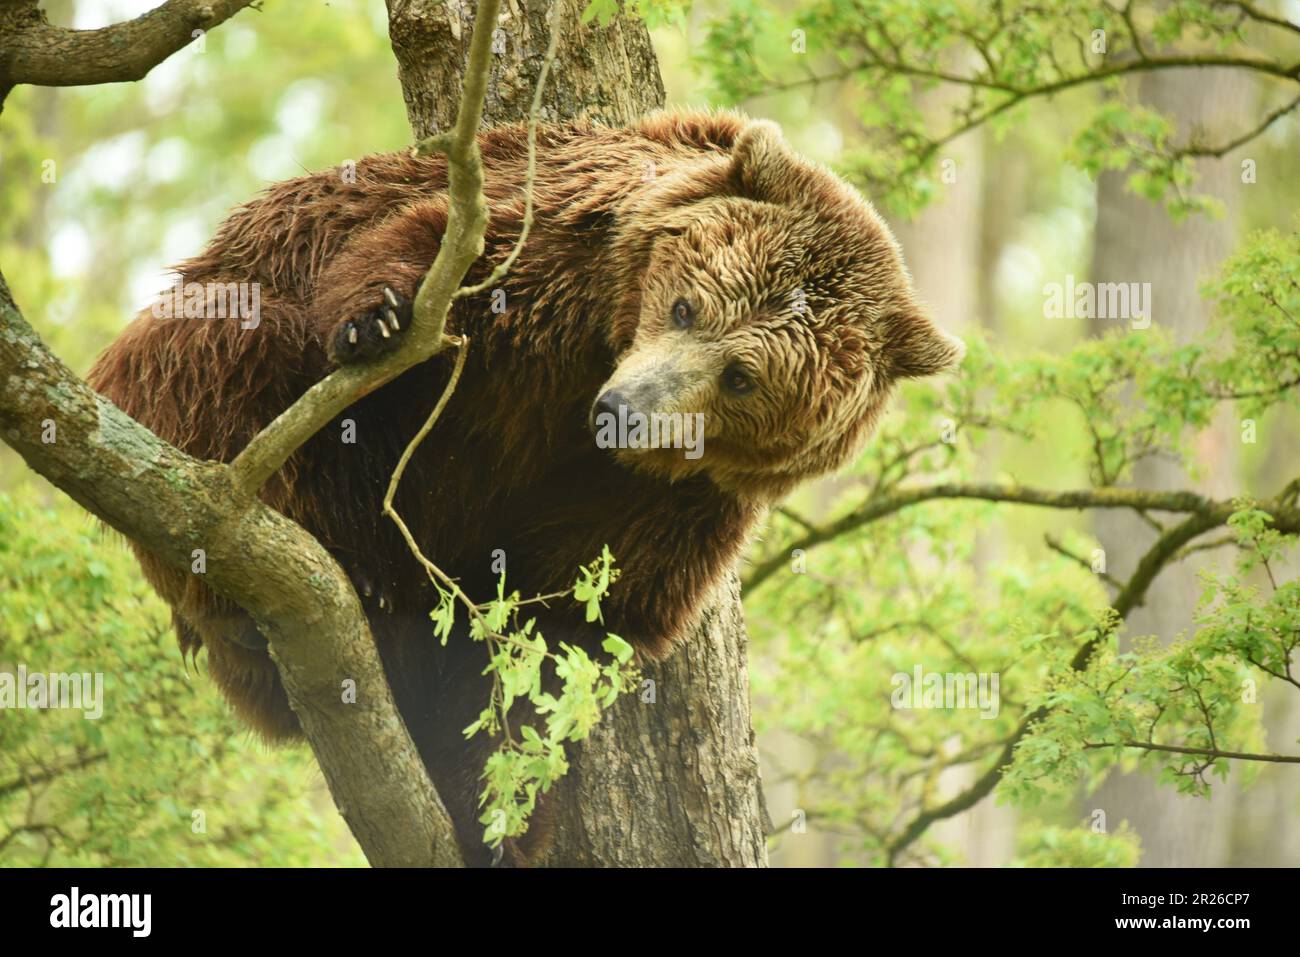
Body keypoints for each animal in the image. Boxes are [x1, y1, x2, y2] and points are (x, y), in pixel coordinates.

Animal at [86, 111, 963, 865]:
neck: (594, 352)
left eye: (742, 376)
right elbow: (427, 255)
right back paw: (315, 569)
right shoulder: (543, 256)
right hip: (207, 339)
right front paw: (378, 317)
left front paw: (498, 810)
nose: (623, 411)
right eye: (686, 306)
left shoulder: (673, 504)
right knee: (219, 355)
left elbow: (552, 626)